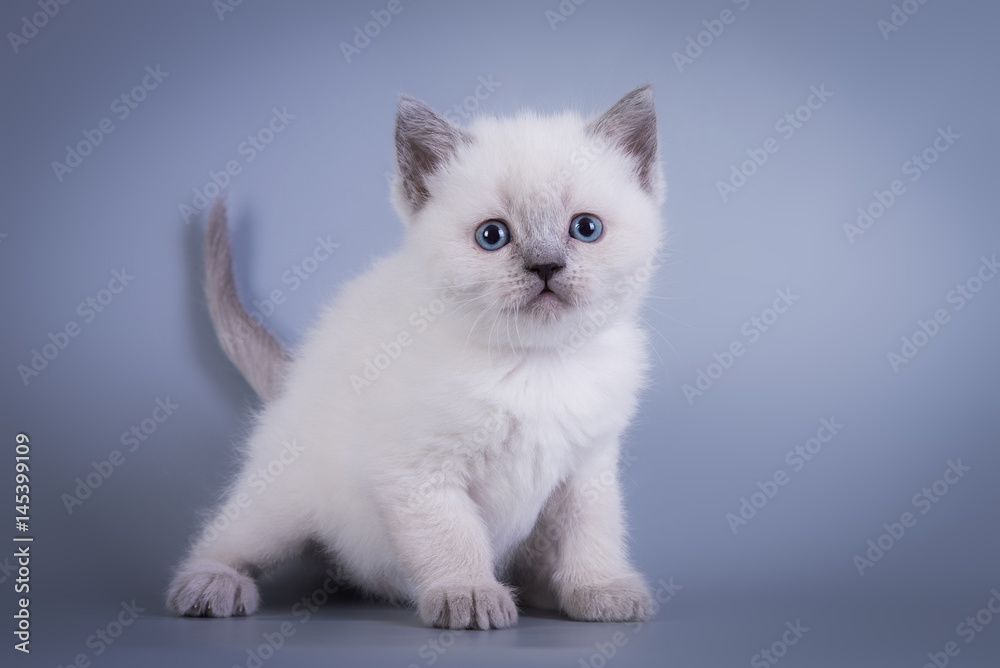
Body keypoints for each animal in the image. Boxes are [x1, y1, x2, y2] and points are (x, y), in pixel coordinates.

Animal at [166, 86, 664, 628]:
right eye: (492, 236)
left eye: (586, 228)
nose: (546, 266)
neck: (536, 364)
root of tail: (292, 381)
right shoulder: (417, 470)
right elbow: (453, 538)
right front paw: (469, 594)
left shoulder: (588, 468)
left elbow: (592, 532)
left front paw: (600, 589)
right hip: (280, 505)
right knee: (226, 540)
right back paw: (210, 585)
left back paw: (542, 590)